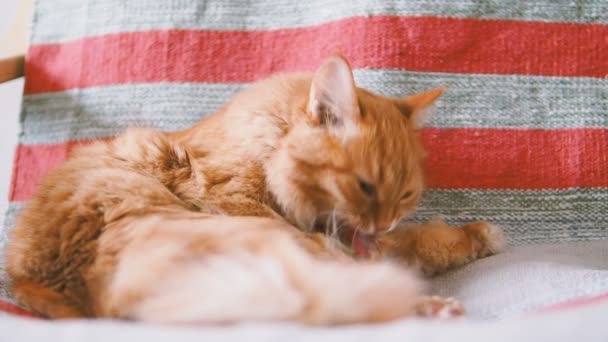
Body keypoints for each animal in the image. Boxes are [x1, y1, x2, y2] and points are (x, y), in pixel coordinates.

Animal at [4, 55, 504, 324]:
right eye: (365, 186)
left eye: (405, 195)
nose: (384, 222)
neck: (270, 145)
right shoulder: (241, 201)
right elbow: (387, 252)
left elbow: (408, 243)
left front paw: (475, 236)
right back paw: (433, 307)